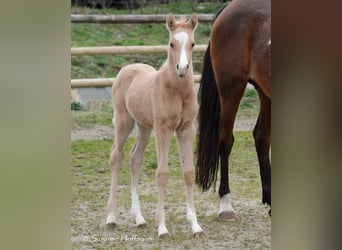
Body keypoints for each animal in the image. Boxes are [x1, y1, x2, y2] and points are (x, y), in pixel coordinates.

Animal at [105, 12, 204, 237]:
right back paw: (111, 217)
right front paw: (162, 227)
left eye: (193, 44)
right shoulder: (163, 130)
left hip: (144, 127)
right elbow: (162, 173)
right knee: (116, 156)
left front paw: (195, 226)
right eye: (171, 43)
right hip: (124, 121)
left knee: (135, 159)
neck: (177, 90)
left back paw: (139, 219)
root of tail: (126, 68)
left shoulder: (186, 129)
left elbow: (189, 173)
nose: (183, 69)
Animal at [196, 0, 272, 219]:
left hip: (265, 92)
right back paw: (225, 204)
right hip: (231, 89)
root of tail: (229, 7)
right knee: (225, 141)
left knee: (261, 137)